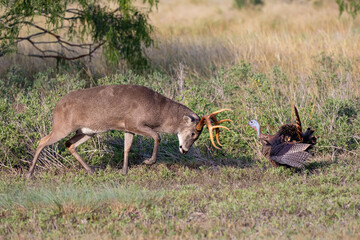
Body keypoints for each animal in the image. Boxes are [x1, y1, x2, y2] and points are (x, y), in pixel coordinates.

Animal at [26, 85, 232, 178]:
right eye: (193, 134)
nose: (184, 150)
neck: (158, 111)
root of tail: (56, 108)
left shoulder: (127, 127)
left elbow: (127, 147)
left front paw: (124, 171)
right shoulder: (135, 122)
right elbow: (157, 136)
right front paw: (148, 161)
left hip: (87, 131)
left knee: (69, 144)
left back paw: (91, 170)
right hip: (62, 126)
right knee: (42, 141)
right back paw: (29, 173)